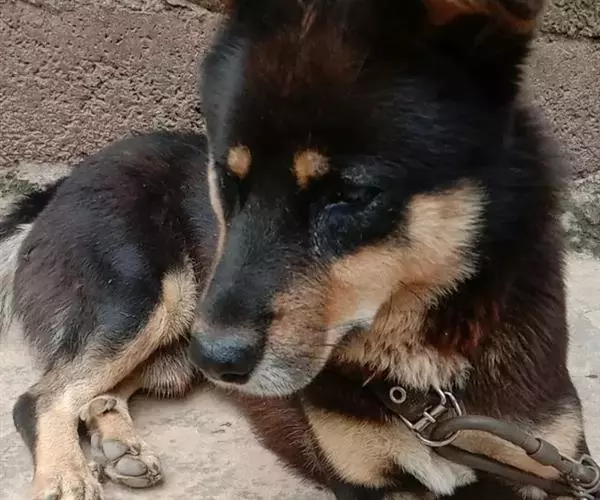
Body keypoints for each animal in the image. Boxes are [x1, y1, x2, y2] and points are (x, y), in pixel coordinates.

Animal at [2, 0, 595, 499]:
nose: (217, 357)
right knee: (42, 397)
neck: (428, 387)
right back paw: (66, 475)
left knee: (97, 390)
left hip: (174, 352)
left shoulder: (549, 468)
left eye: (349, 195)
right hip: (145, 301)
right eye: (225, 181)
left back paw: (117, 441)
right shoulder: (364, 482)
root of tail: (61, 183)